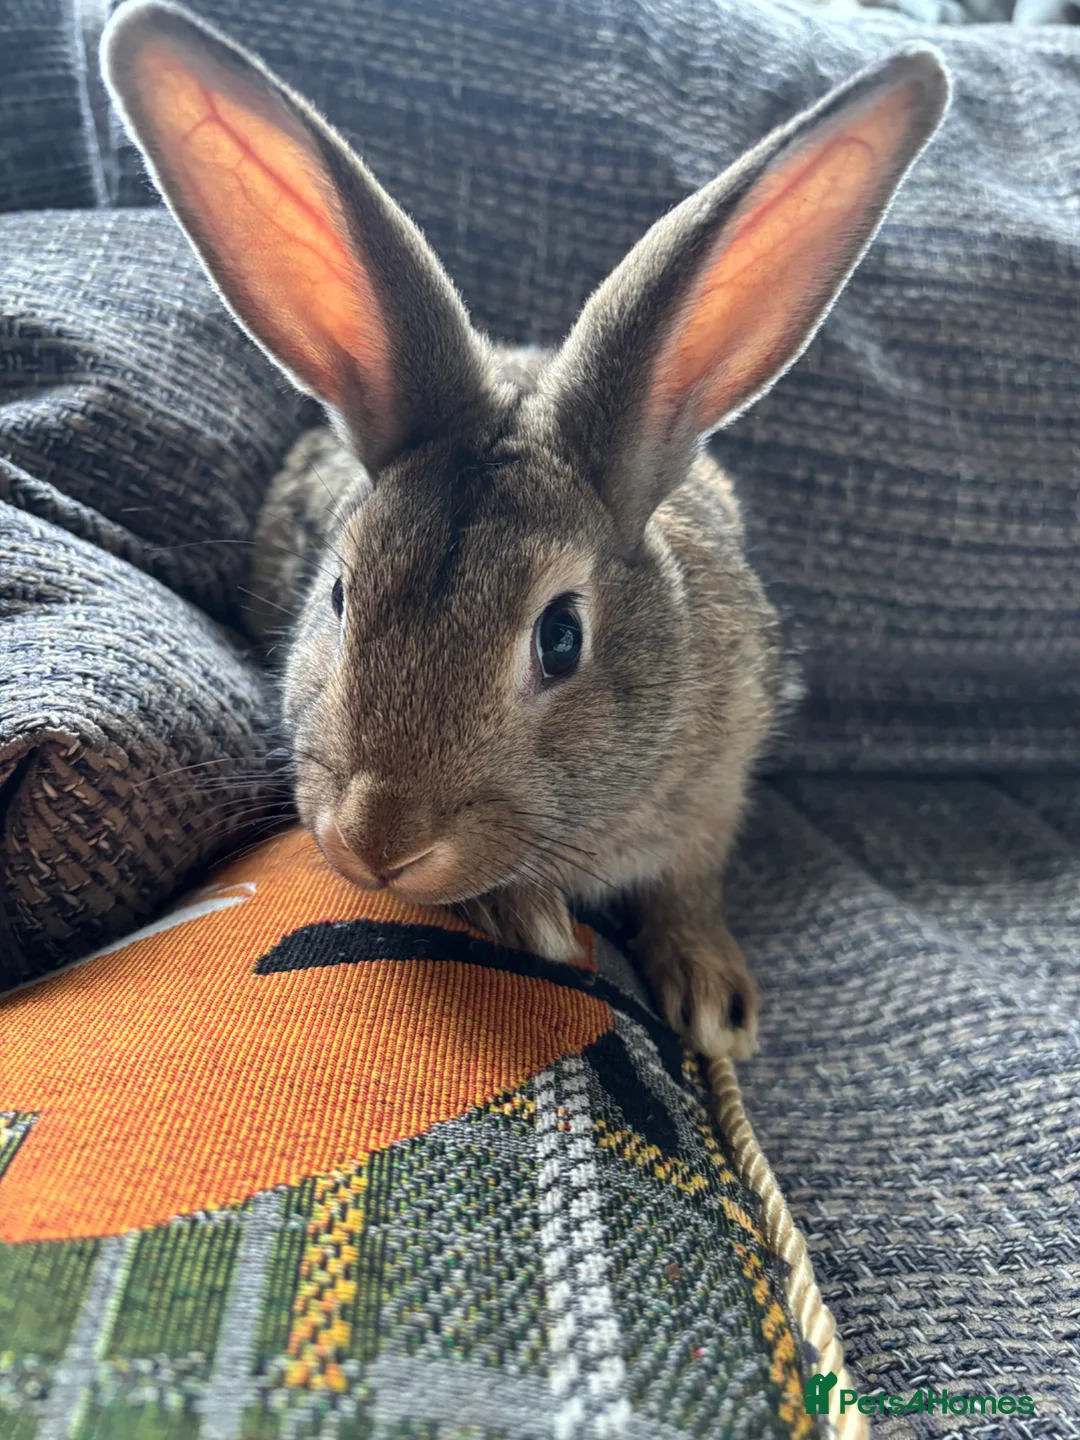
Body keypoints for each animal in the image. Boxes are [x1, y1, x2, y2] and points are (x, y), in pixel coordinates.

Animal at [101, 0, 949, 1059]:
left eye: (561, 638)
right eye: (338, 598)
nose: (379, 844)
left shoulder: (715, 787)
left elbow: (689, 887)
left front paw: (714, 1003)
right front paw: (533, 919)